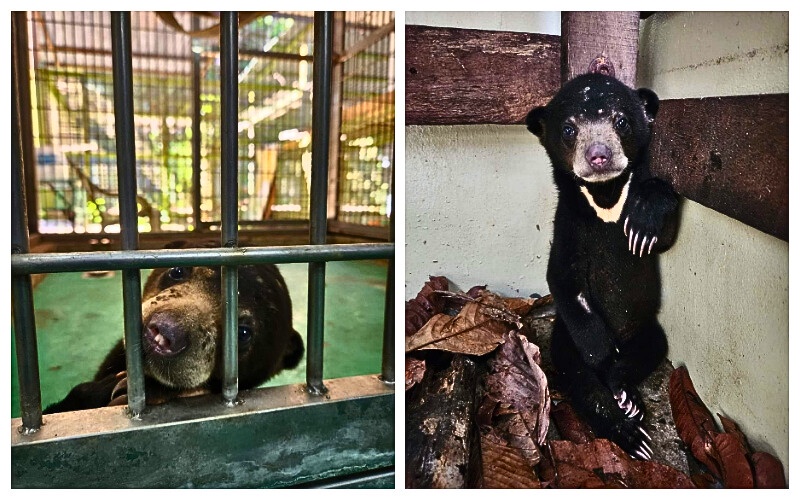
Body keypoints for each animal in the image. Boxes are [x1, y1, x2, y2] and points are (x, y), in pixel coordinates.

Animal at [525, 73, 679, 459]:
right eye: (568, 129)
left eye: (621, 121)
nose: (598, 155)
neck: (605, 197)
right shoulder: (568, 224)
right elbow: (562, 278)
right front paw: (604, 357)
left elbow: (661, 235)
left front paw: (644, 218)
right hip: (564, 340)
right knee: (583, 384)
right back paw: (630, 433)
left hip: (648, 330)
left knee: (648, 352)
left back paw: (627, 395)